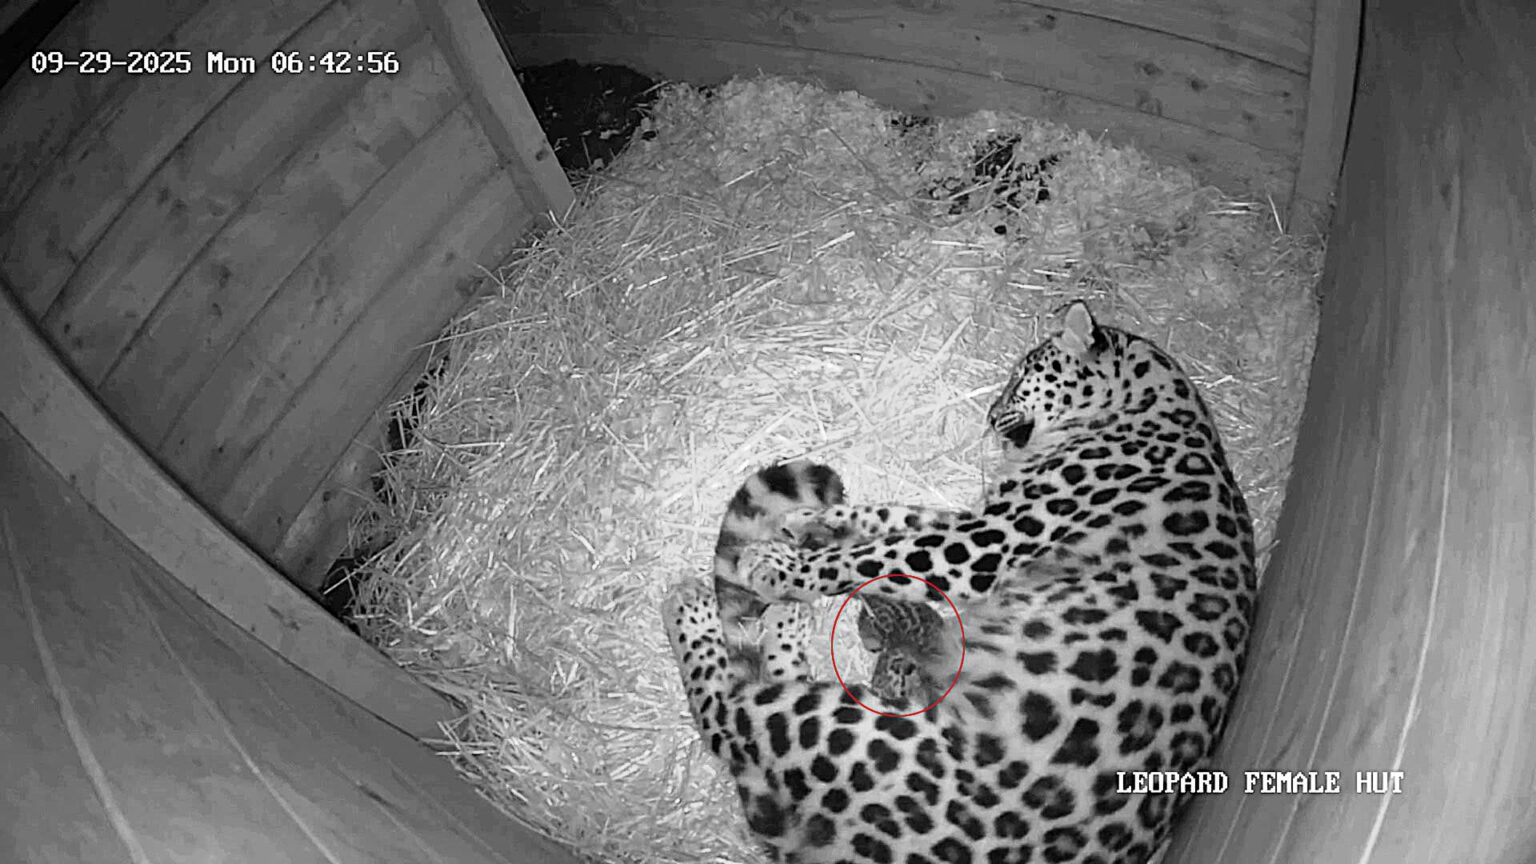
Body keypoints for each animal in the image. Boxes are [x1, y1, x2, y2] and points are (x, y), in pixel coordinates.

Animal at [663, 299, 1257, 863]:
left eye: (1022, 376)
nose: (991, 416)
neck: (1143, 407)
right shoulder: (979, 519)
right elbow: (893, 517)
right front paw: (813, 521)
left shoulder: (988, 542)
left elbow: (879, 554)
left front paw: (779, 565)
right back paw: (785, 616)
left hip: (861, 730)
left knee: (731, 713)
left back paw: (694, 607)